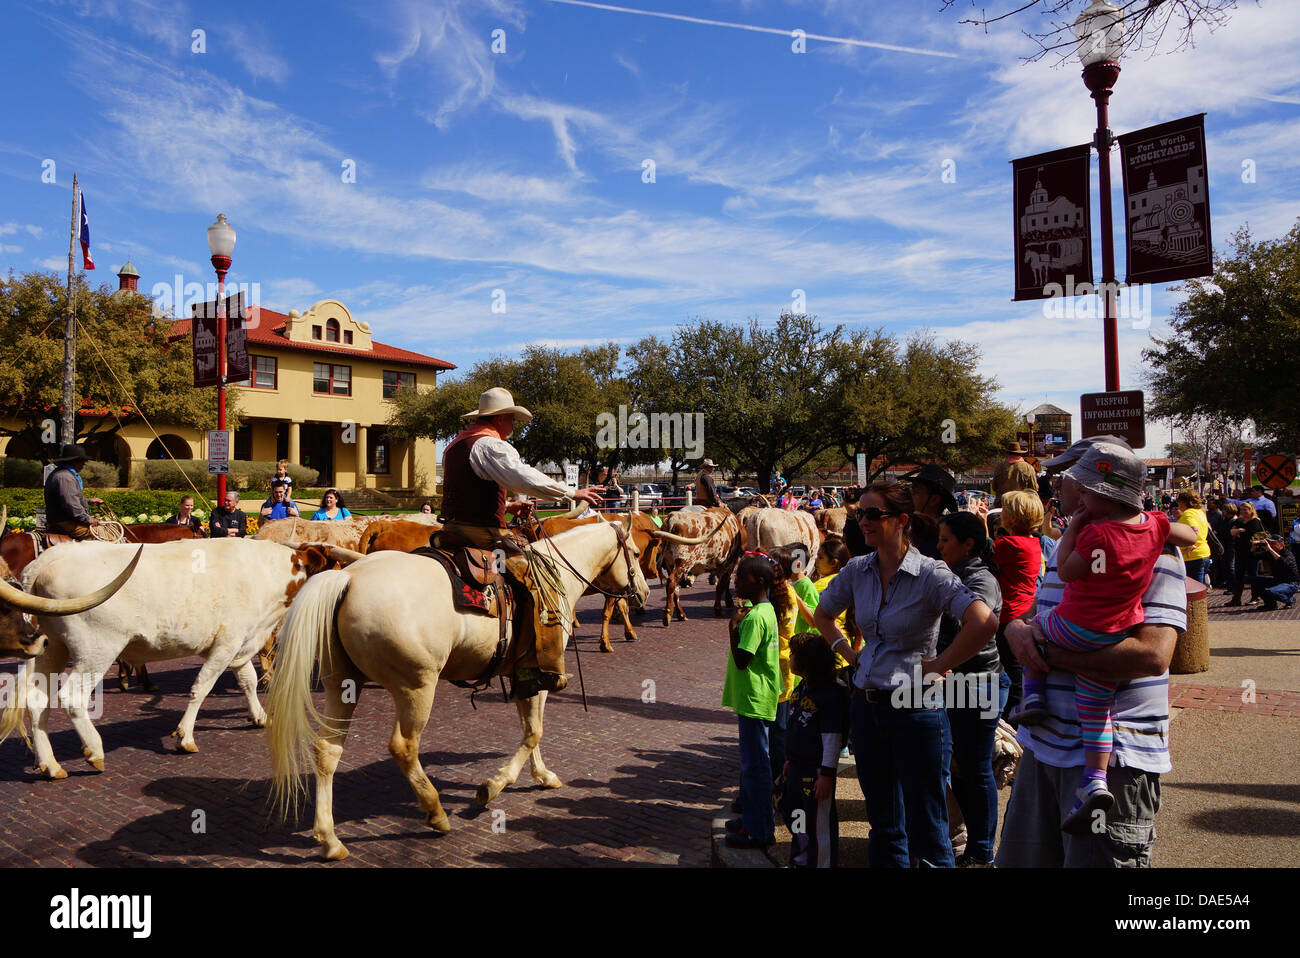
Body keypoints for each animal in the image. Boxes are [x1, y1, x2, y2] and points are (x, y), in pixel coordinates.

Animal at [266, 519, 647, 863]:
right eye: (636, 553)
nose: (642, 593)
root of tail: (348, 577)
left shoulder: (523, 676)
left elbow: (531, 728)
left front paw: (541, 774)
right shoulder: (542, 672)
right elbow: (534, 731)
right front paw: (493, 786)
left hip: (342, 685)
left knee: (327, 751)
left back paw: (330, 840)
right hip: (417, 687)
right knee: (404, 747)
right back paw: (435, 812)